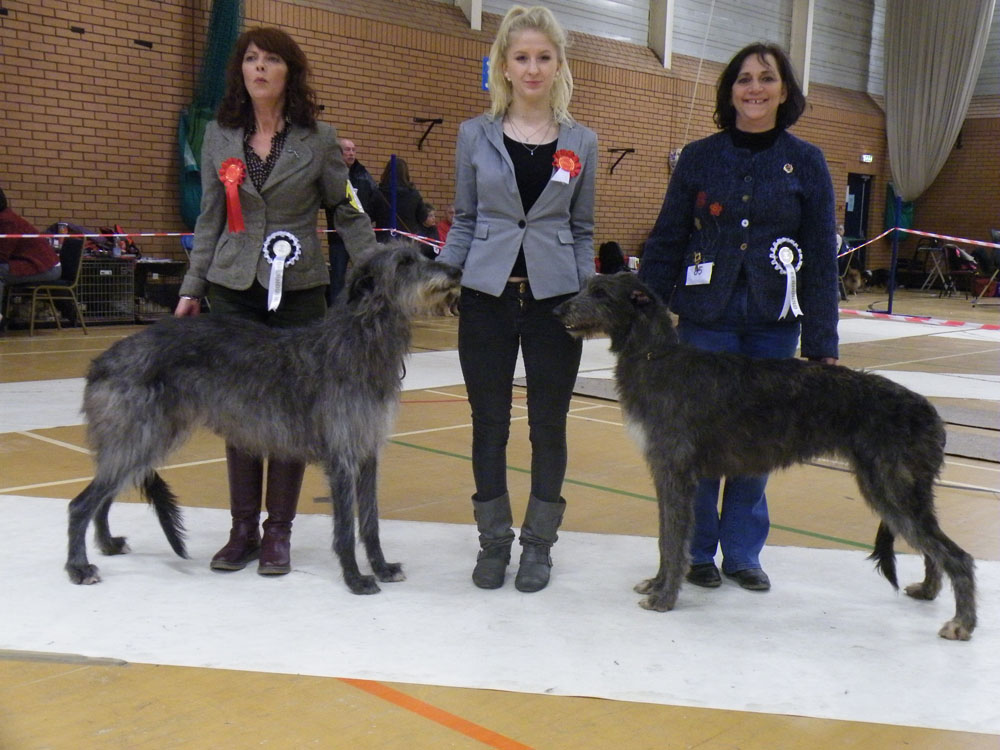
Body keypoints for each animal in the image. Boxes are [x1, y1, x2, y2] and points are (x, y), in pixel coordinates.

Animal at [64, 244, 462, 596]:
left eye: (424, 254)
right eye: (405, 262)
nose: (456, 271)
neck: (359, 341)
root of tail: (102, 362)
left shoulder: (367, 451)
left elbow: (370, 521)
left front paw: (381, 567)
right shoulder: (342, 455)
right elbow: (346, 528)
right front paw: (355, 579)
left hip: (141, 439)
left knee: (104, 495)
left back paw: (108, 544)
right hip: (140, 435)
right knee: (81, 503)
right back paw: (79, 567)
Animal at [552, 274, 972, 644]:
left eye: (601, 293)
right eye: (587, 285)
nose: (557, 310)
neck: (656, 356)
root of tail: (931, 413)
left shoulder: (676, 472)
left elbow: (673, 540)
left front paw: (664, 597)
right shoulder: (665, 473)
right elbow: (664, 536)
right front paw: (656, 583)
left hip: (892, 488)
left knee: (958, 555)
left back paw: (962, 624)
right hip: (900, 491)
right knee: (934, 549)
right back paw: (929, 591)